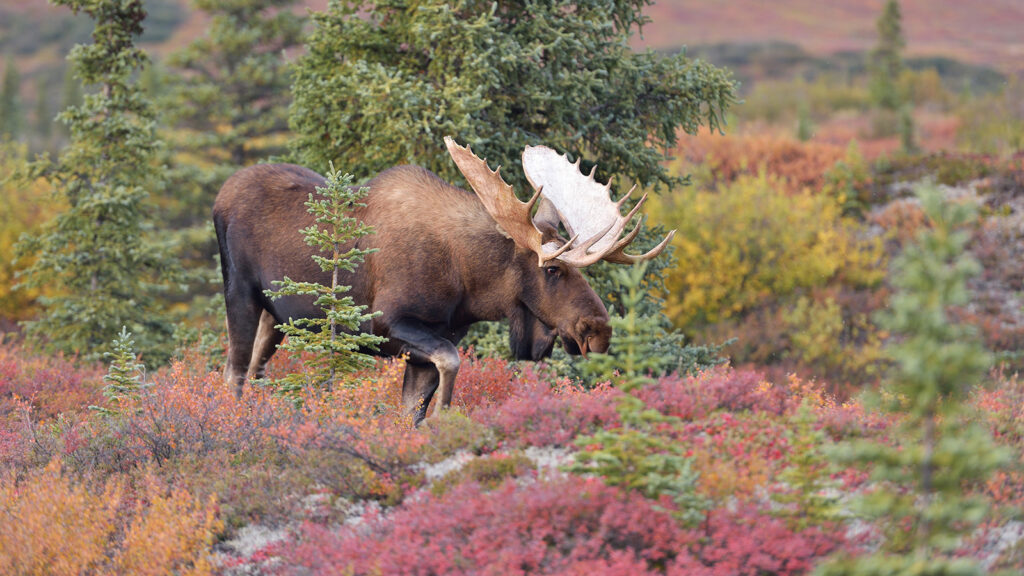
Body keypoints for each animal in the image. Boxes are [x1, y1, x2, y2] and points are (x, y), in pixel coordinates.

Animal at [212, 136, 675, 420]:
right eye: (552, 268)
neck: (467, 284)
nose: (598, 330)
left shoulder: (431, 341)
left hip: (278, 315)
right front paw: (444, 419)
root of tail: (221, 195)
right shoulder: (389, 323)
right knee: (234, 371)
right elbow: (450, 364)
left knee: (255, 367)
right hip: (239, 291)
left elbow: (411, 409)